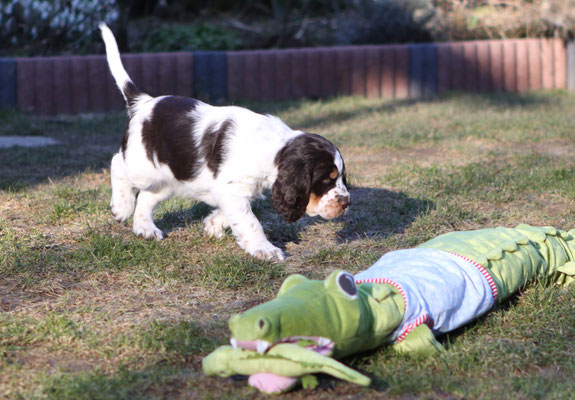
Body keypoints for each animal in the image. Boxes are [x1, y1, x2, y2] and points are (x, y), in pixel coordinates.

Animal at [99, 24, 352, 262]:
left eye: (341, 177)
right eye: (325, 180)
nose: (346, 203)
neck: (273, 146)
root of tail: (144, 102)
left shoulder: (234, 191)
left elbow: (232, 213)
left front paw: (212, 225)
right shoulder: (233, 189)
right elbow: (250, 221)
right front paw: (266, 250)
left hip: (170, 177)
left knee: (147, 196)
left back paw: (145, 229)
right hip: (142, 165)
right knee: (117, 164)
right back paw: (121, 208)